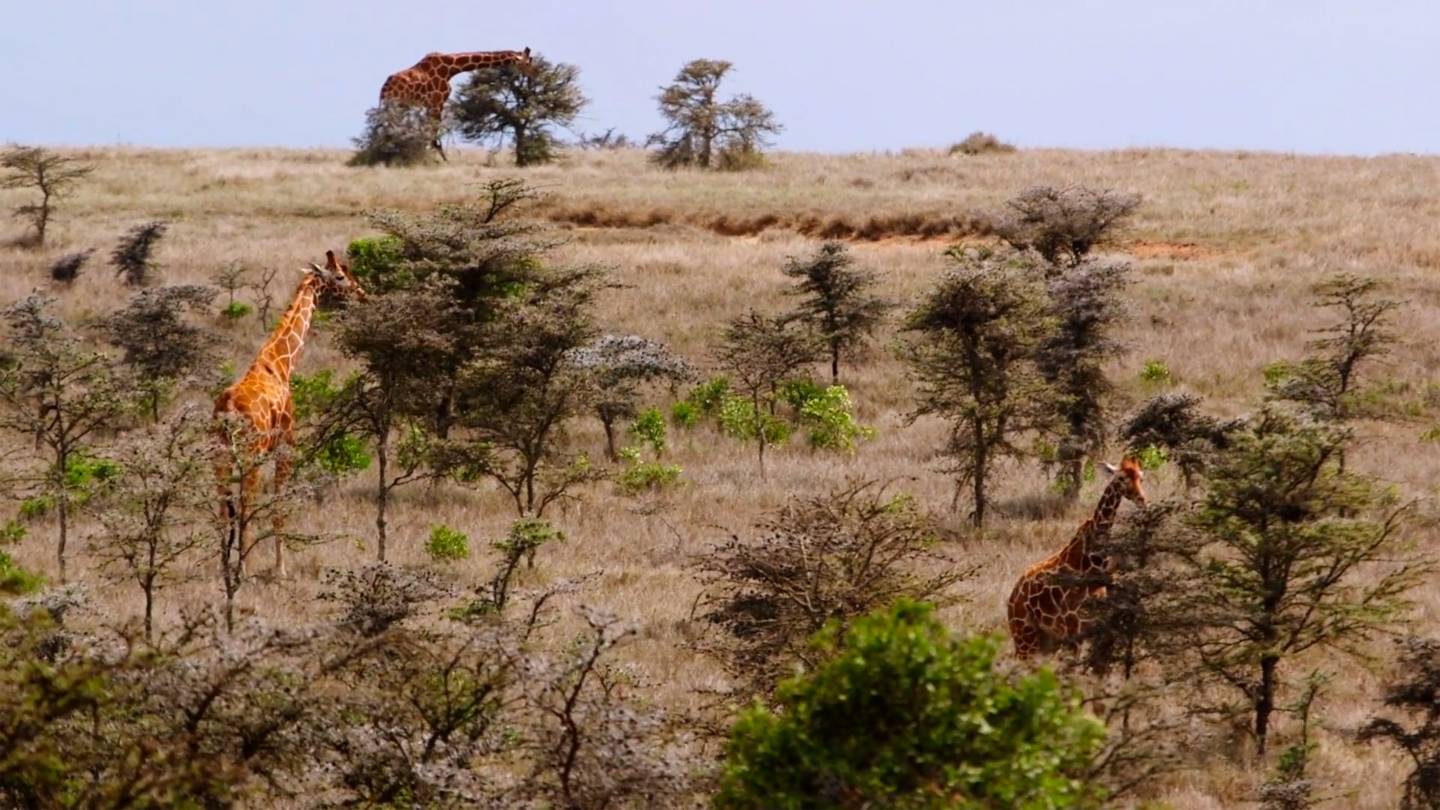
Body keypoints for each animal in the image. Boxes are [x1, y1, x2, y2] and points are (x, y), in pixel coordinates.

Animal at [214, 251, 365, 578]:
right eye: (341, 276)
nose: (361, 293)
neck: (280, 364)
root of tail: (228, 410)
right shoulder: (286, 445)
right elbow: (278, 507)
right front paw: (280, 569)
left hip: (219, 457)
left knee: (221, 507)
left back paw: (225, 570)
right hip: (249, 457)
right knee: (245, 505)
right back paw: (244, 570)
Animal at [378, 47, 534, 160]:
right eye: (527, 62)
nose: (533, 75)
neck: (451, 69)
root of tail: (385, 88)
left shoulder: (431, 104)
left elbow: (430, 133)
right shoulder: (437, 101)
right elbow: (433, 134)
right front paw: (436, 160)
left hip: (396, 106)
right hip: (397, 104)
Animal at [1006, 458, 1147, 659]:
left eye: (1141, 477)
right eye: (1121, 478)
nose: (1142, 500)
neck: (1095, 560)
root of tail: (1012, 595)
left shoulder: (1098, 625)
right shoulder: (1075, 628)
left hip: (1046, 640)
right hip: (1025, 636)